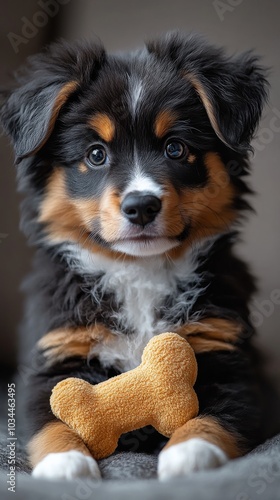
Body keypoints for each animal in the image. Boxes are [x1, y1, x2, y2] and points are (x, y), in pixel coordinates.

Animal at [0, 32, 270, 480]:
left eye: (176, 148)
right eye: (95, 154)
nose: (141, 206)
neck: (138, 271)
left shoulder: (229, 357)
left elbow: (214, 416)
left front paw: (189, 454)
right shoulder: (55, 356)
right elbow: (52, 417)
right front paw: (65, 464)